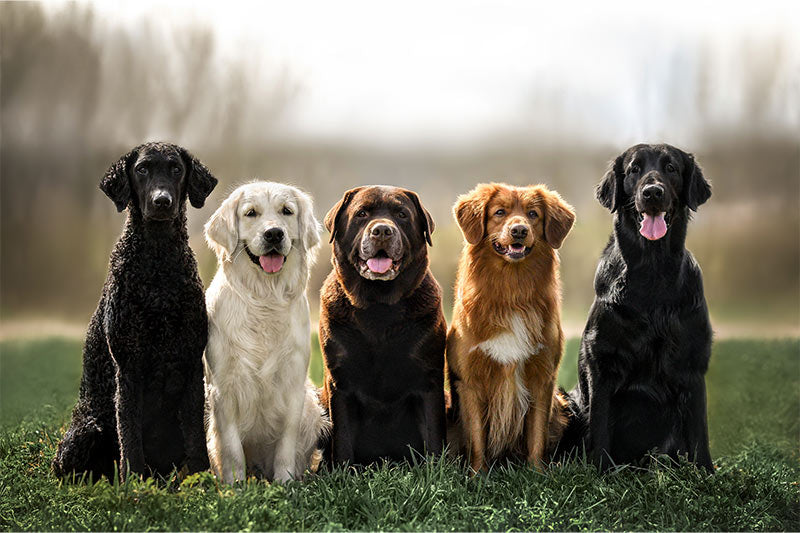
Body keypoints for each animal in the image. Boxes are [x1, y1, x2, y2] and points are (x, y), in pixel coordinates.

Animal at [52, 140, 217, 478]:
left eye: (176, 169)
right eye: (142, 169)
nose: (162, 201)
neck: (158, 265)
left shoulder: (191, 362)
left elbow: (194, 434)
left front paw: (202, 477)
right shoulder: (128, 366)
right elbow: (128, 429)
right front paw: (135, 480)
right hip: (86, 430)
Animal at [450, 182, 576, 470]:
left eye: (532, 214)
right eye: (499, 212)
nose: (519, 230)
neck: (511, 291)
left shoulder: (542, 377)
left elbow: (537, 436)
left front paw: (538, 473)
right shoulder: (470, 380)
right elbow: (477, 438)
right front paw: (477, 475)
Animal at [564, 143, 712, 472]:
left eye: (671, 168)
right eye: (634, 169)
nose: (652, 192)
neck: (651, 271)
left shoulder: (692, 366)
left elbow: (699, 433)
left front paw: (707, 475)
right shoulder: (601, 361)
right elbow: (600, 425)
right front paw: (601, 473)